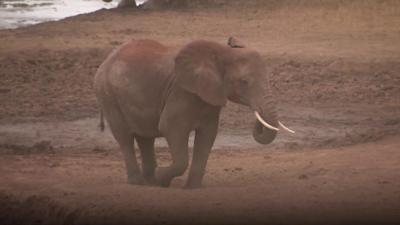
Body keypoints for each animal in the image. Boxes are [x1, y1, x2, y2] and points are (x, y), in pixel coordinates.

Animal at [94, 38, 294, 188]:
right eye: (243, 82)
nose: (257, 115)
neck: (222, 52)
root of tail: (105, 61)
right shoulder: (181, 92)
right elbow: (170, 128)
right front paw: (162, 178)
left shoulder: (210, 96)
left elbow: (208, 135)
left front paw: (192, 187)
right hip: (108, 94)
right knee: (125, 137)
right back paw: (139, 182)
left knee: (145, 138)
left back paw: (150, 181)